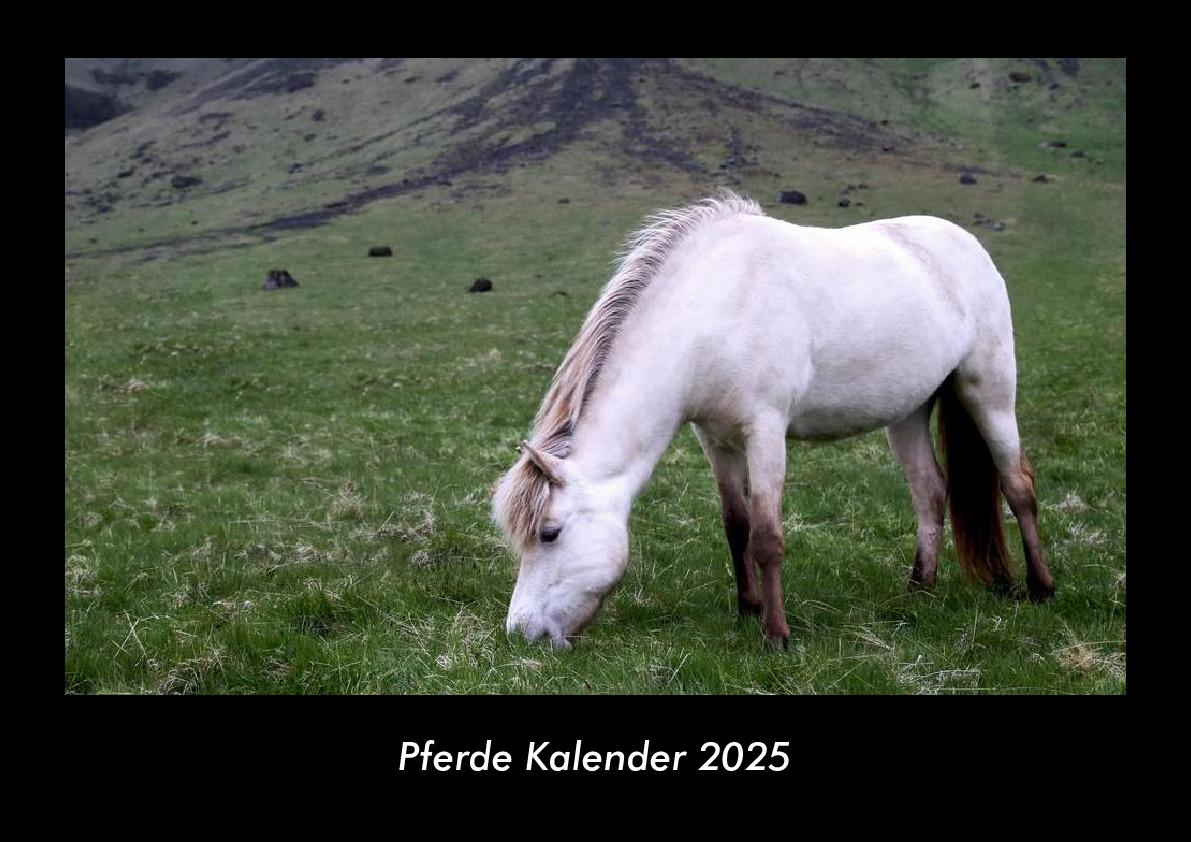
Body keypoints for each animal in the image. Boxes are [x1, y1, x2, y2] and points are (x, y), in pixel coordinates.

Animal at [493, 191, 1055, 651]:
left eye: (550, 533)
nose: (521, 633)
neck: (713, 311)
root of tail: (965, 242)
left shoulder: (764, 431)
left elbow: (766, 536)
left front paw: (776, 635)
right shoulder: (715, 439)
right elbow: (735, 524)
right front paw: (748, 610)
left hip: (989, 391)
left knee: (1017, 485)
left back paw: (1041, 587)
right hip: (909, 413)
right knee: (930, 493)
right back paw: (920, 590)